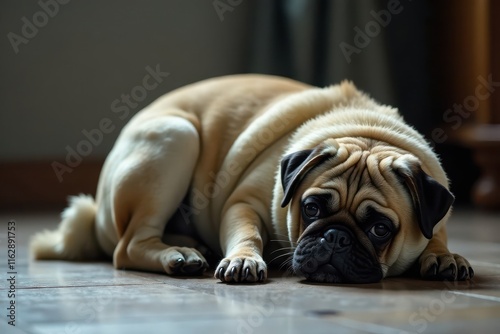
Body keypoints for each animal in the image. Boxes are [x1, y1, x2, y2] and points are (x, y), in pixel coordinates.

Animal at [29, 74, 474, 284]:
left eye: (381, 229)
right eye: (311, 208)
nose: (335, 237)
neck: (366, 132)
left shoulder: (434, 211)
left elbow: (436, 234)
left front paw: (444, 256)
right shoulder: (244, 203)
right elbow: (248, 233)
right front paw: (244, 259)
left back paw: (188, 245)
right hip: (177, 136)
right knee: (128, 246)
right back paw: (180, 256)